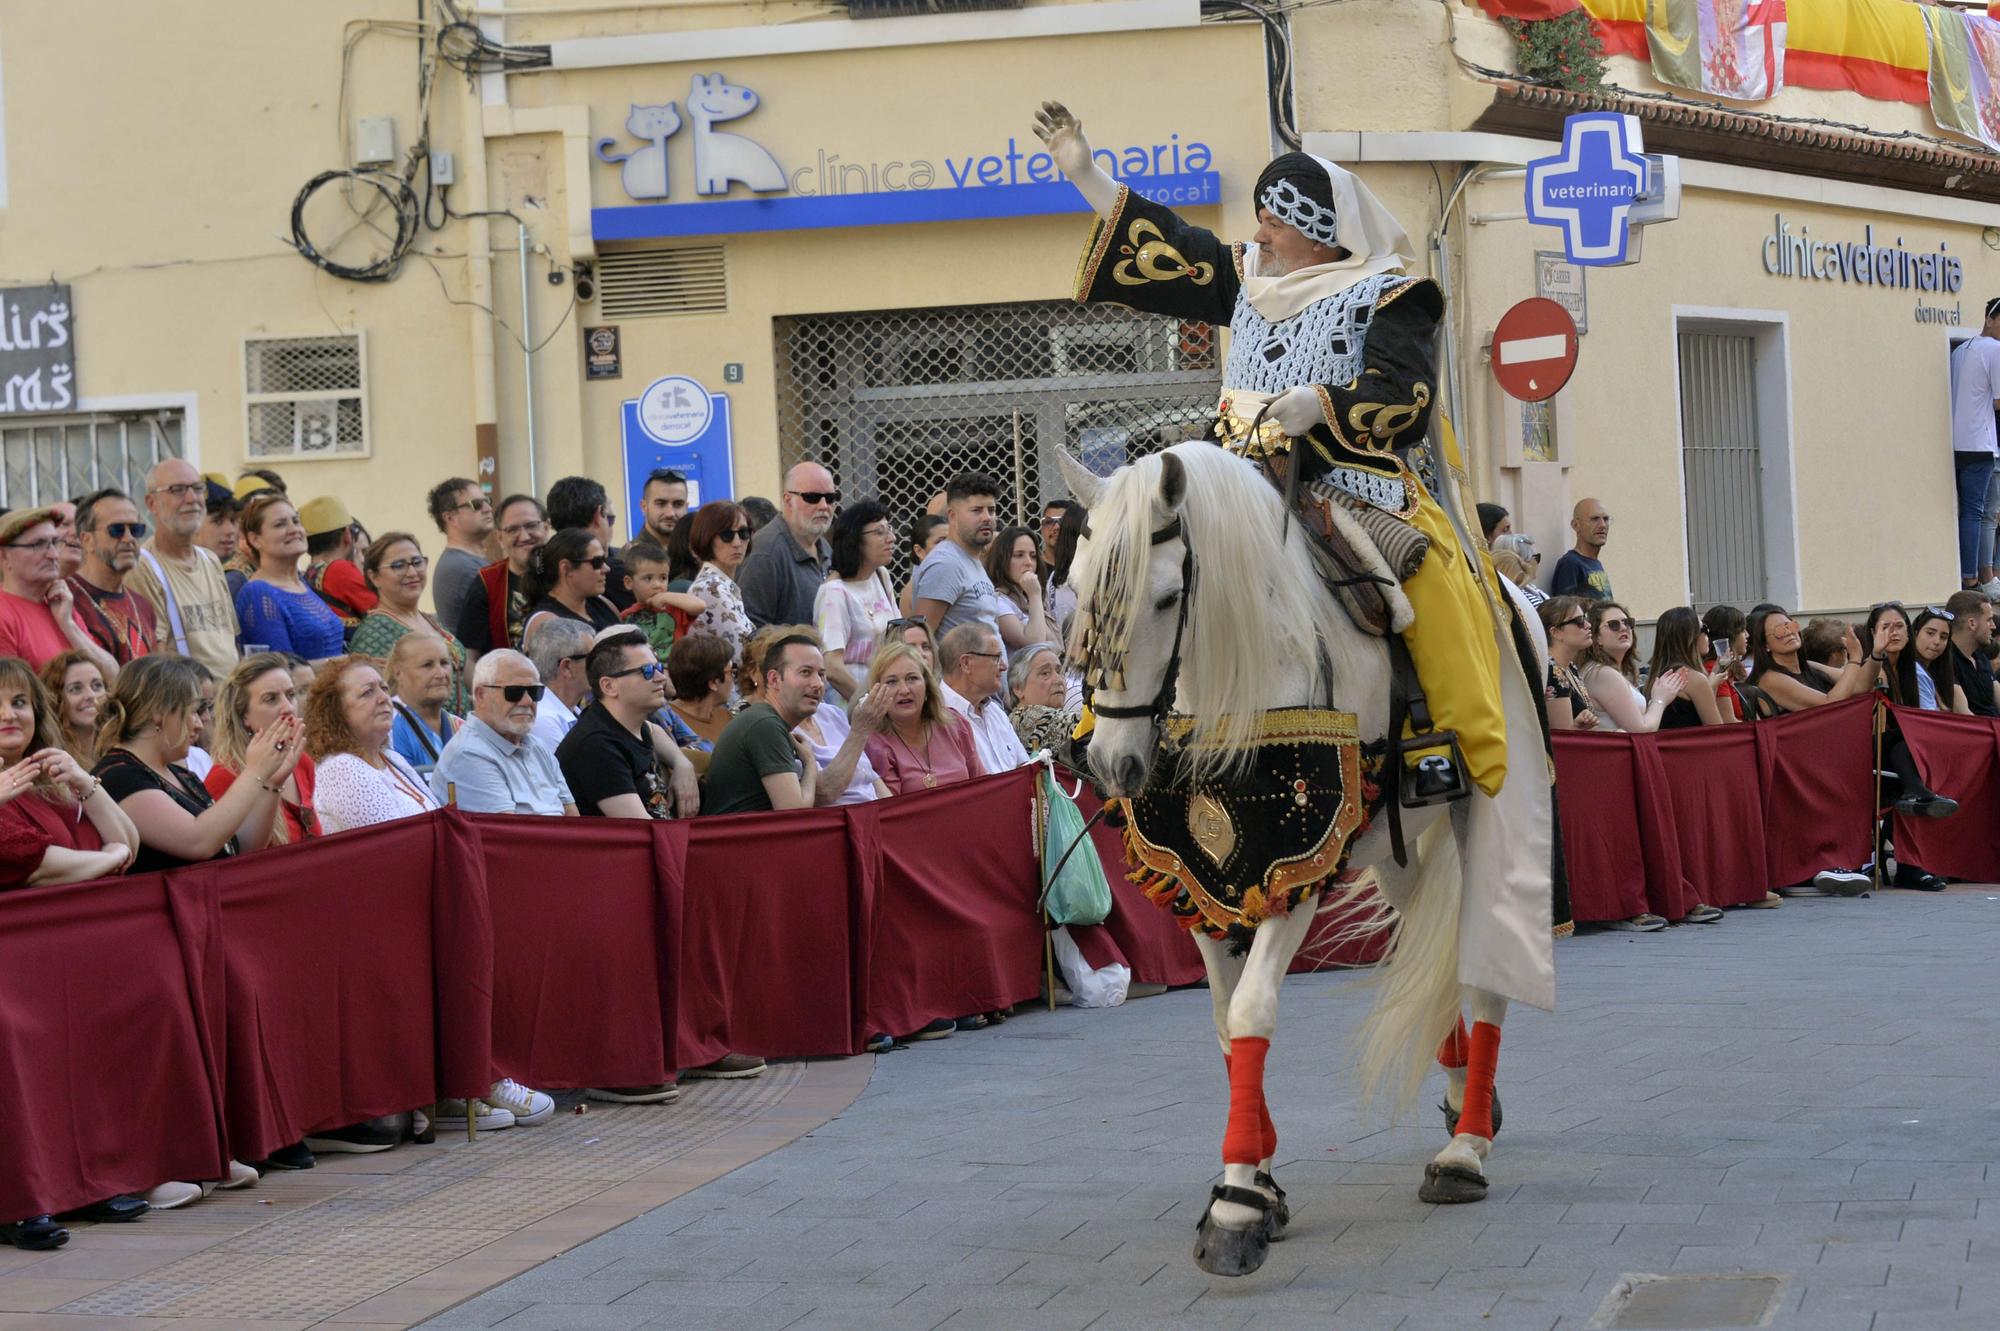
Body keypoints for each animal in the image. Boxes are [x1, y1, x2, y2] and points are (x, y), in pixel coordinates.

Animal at [1056, 437, 1552, 1279]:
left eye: (1165, 597)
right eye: (1077, 591)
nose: (1114, 765)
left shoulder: (1295, 867)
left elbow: (1253, 1009)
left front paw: (1236, 1207)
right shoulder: (1201, 873)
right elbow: (1227, 1026)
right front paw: (1258, 1174)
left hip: (1484, 804)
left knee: (1487, 958)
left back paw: (1465, 1146)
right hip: (1392, 847)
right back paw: (1462, 1092)